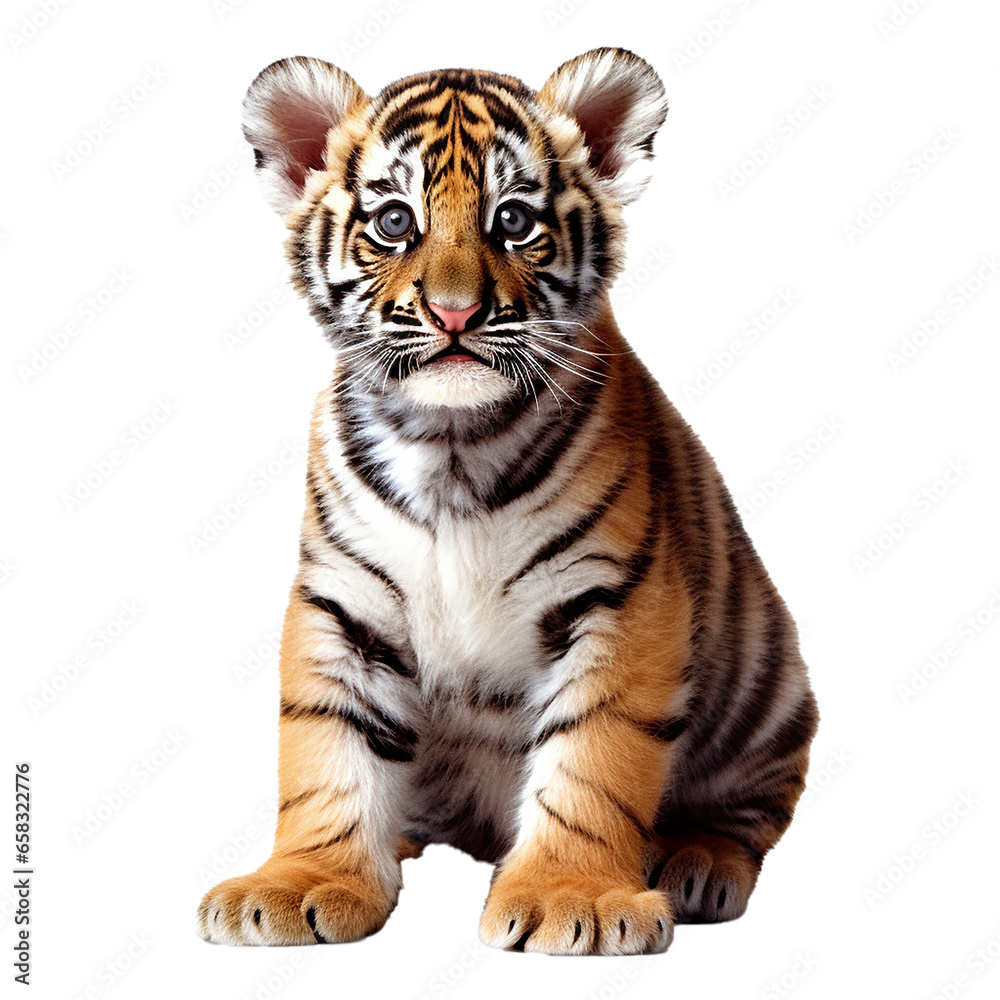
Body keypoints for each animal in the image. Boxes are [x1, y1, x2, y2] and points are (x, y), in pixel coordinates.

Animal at [197, 47, 818, 956]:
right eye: (395, 221)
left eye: (515, 219)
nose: (455, 312)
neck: (449, 445)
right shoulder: (341, 603)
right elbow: (326, 752)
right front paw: (301, 882)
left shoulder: (621, 599)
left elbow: (595, 759)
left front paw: (572, 896)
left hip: (767, 688)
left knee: (752, 807)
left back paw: (697, 866)